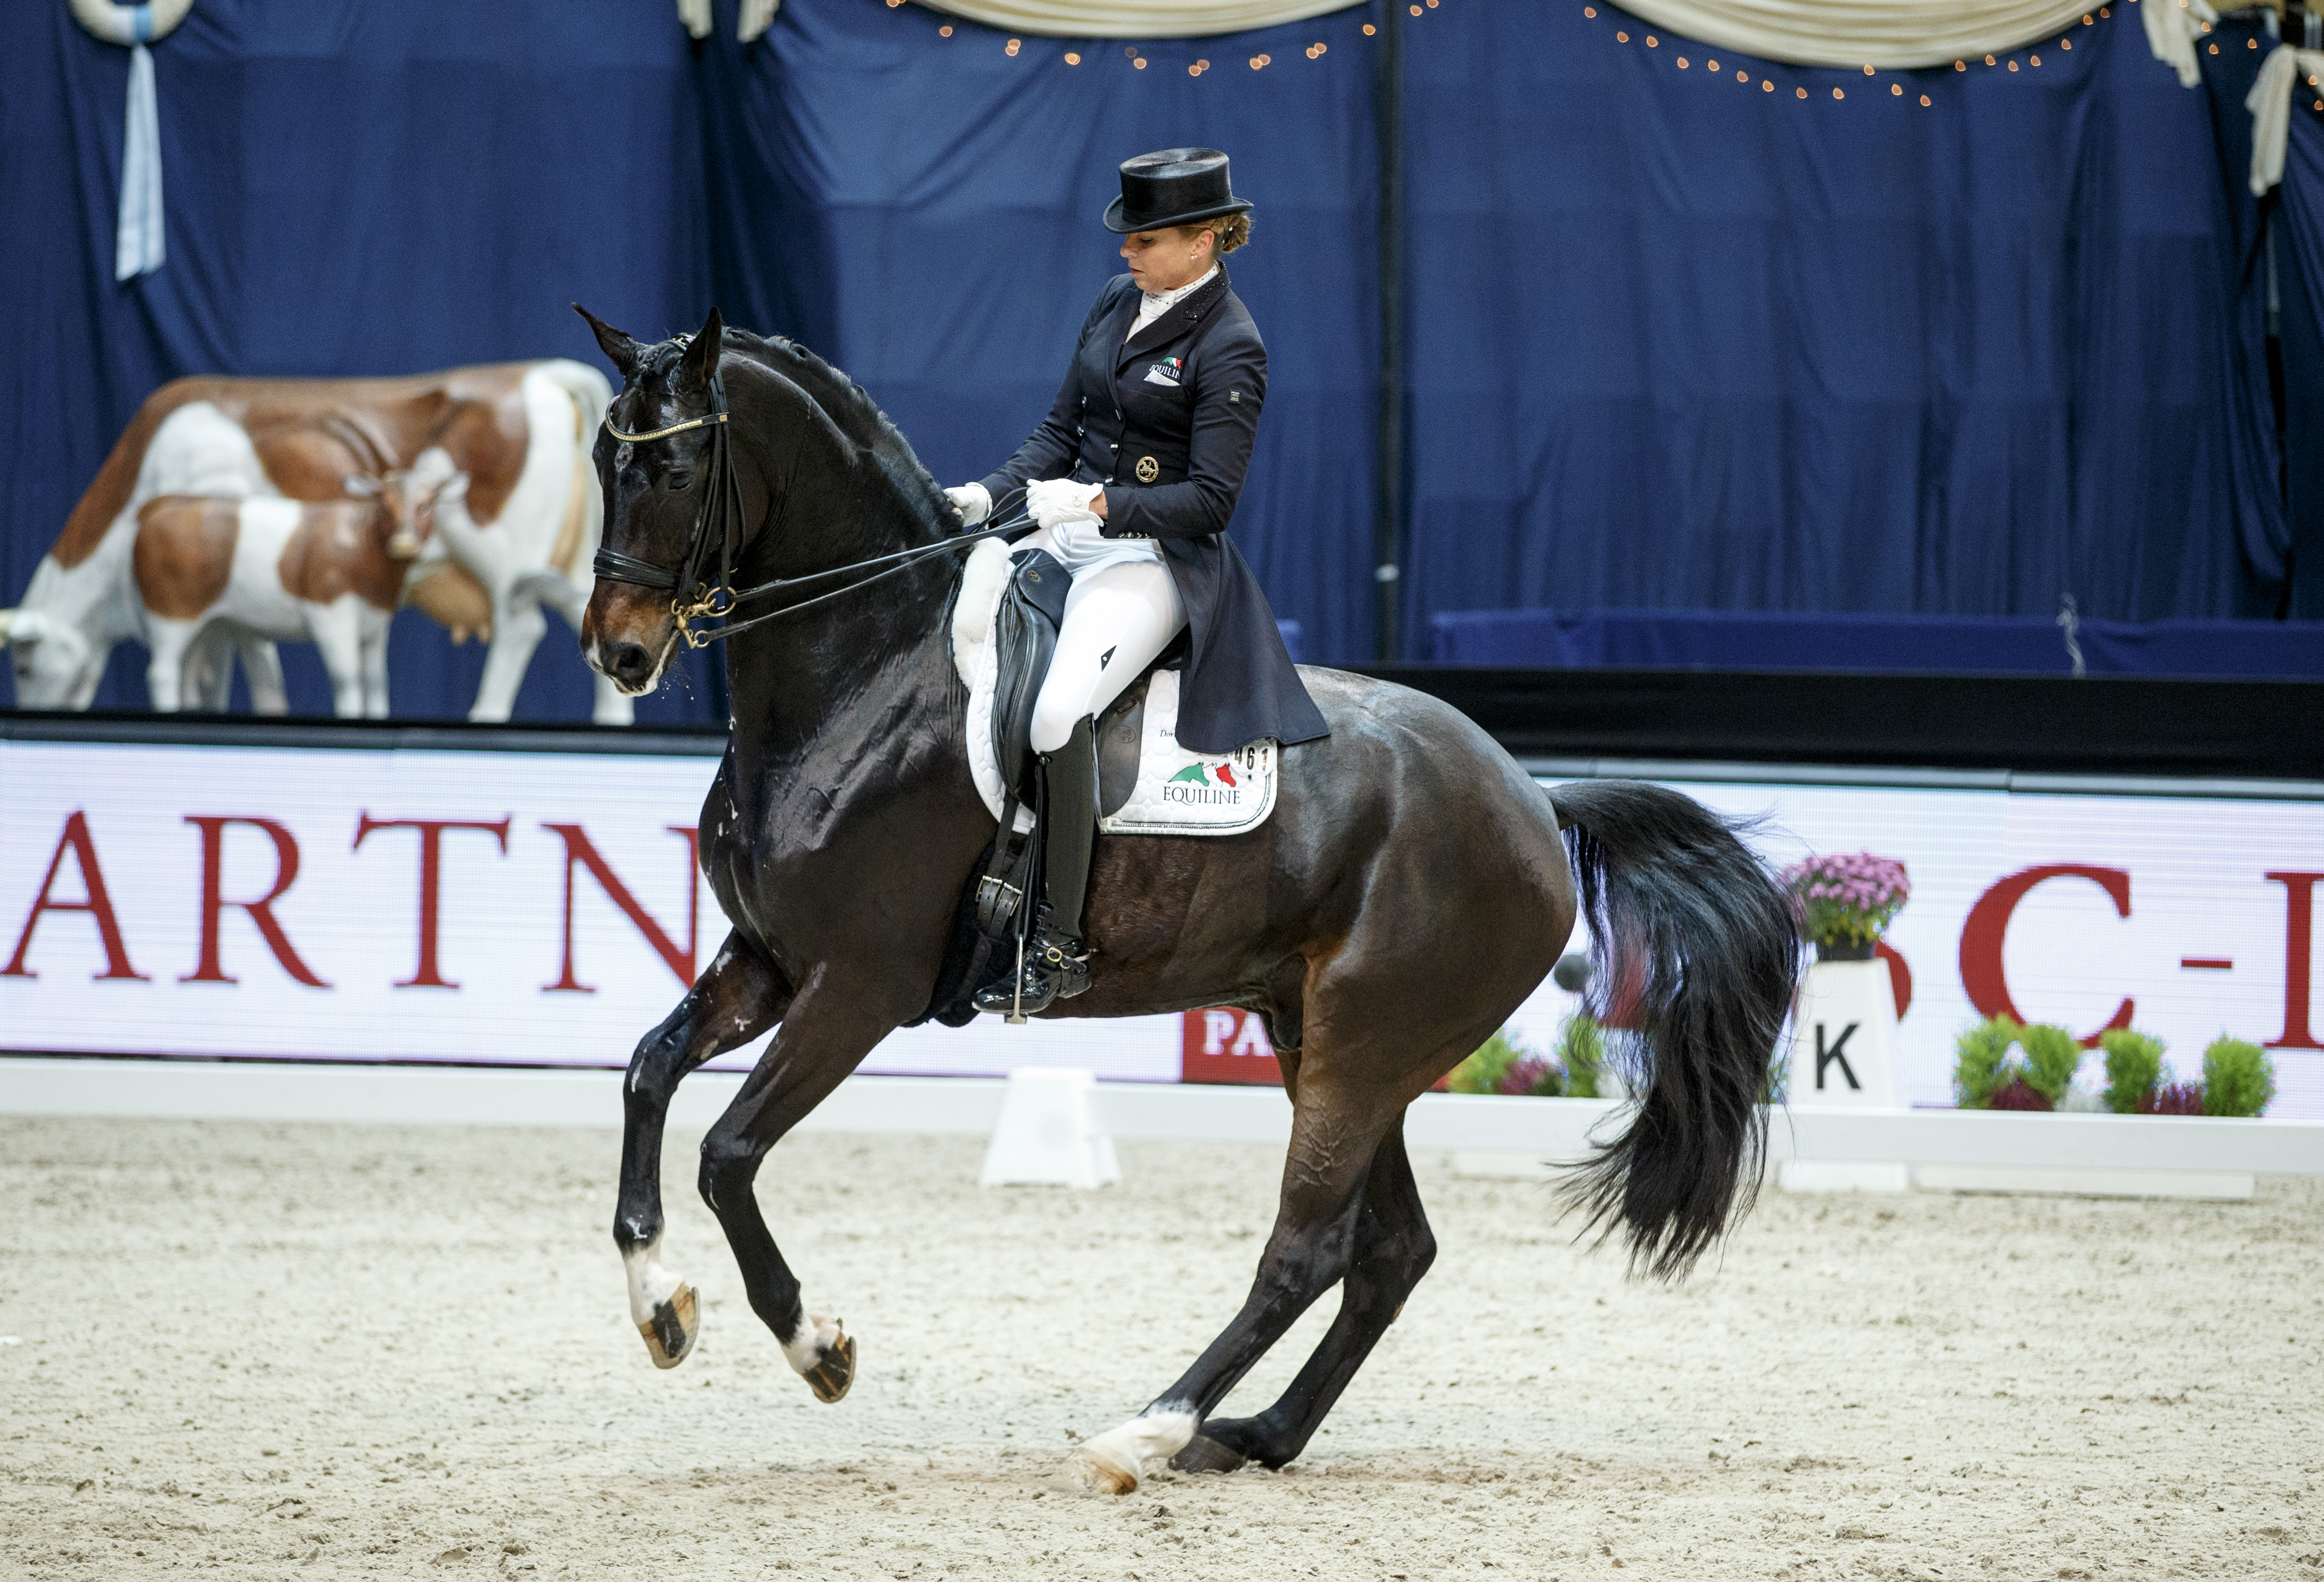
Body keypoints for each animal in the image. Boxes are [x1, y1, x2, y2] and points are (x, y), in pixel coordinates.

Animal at [2, 360, 627, 720]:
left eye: (24, 666)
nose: (40, 712)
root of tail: (539, 374)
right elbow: (234, 667)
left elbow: (234, 659)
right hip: (581, 560)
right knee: (600, 618)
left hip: (502, 555)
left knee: (520, 628)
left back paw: (485, 716)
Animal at [567, 300, 1794, 1496]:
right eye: (599, 460)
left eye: (673, 468)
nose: (619, 653)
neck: (868, 670)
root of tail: (1533, 796)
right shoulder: (770, 956)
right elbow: (647, 1072)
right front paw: (659, 1303)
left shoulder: (861, 984)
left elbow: (729, 1151)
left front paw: (814, 1342)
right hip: (1332, 1038)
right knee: (1390, 1251)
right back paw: (1252, 1434)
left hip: (1363, 1048)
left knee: (1307, 1248)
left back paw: (1149, 1429)